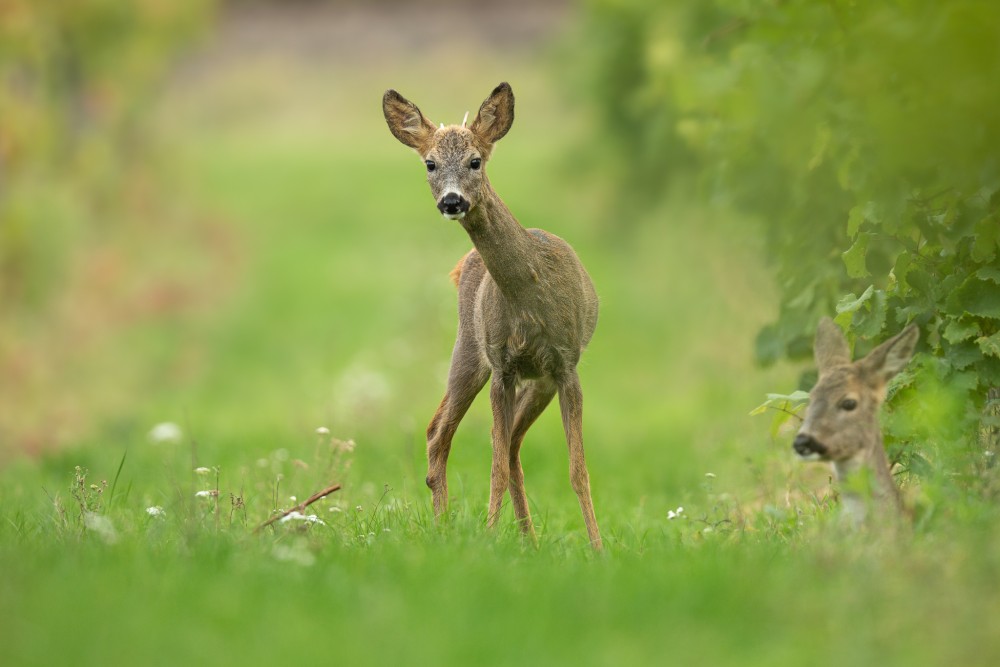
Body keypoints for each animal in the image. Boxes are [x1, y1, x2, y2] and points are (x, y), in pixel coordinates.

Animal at [382, 82, 600, 548]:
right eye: (430, 163)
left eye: (475, 160)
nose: (452, 201)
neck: (531, 298)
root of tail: (463, 264)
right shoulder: (502, 364)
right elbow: (494, 467)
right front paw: (486, 538)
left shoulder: (566, 364)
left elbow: (578, 471)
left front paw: (598, 548)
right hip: (470, 347)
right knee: (440, 433)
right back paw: (446, 528)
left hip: (537, 381)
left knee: (512, 443)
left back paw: (529, 541)